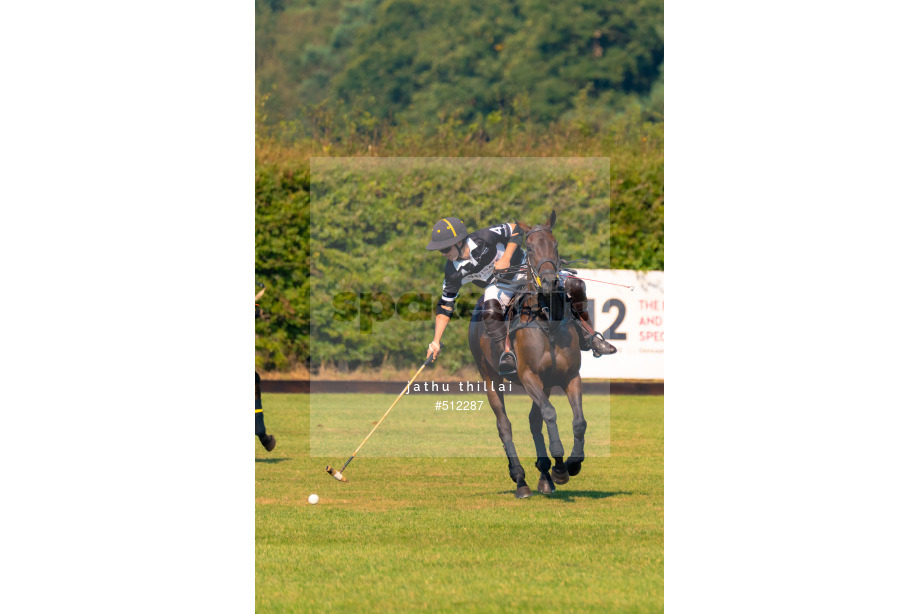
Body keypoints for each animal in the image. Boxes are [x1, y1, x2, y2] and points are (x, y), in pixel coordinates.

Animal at [470, 213, 584, 500]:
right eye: (529, 248)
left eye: (556, 244)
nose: (551, 281)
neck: (547, 322)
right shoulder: (529, 376)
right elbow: (551, 413)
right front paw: (560, 467)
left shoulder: (569, 376)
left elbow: (577, 421)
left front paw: (572, 464)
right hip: (489, 377)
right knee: (504, 425)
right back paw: (520, 480)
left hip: (546, 383)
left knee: (534, 421)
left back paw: (544, 477)